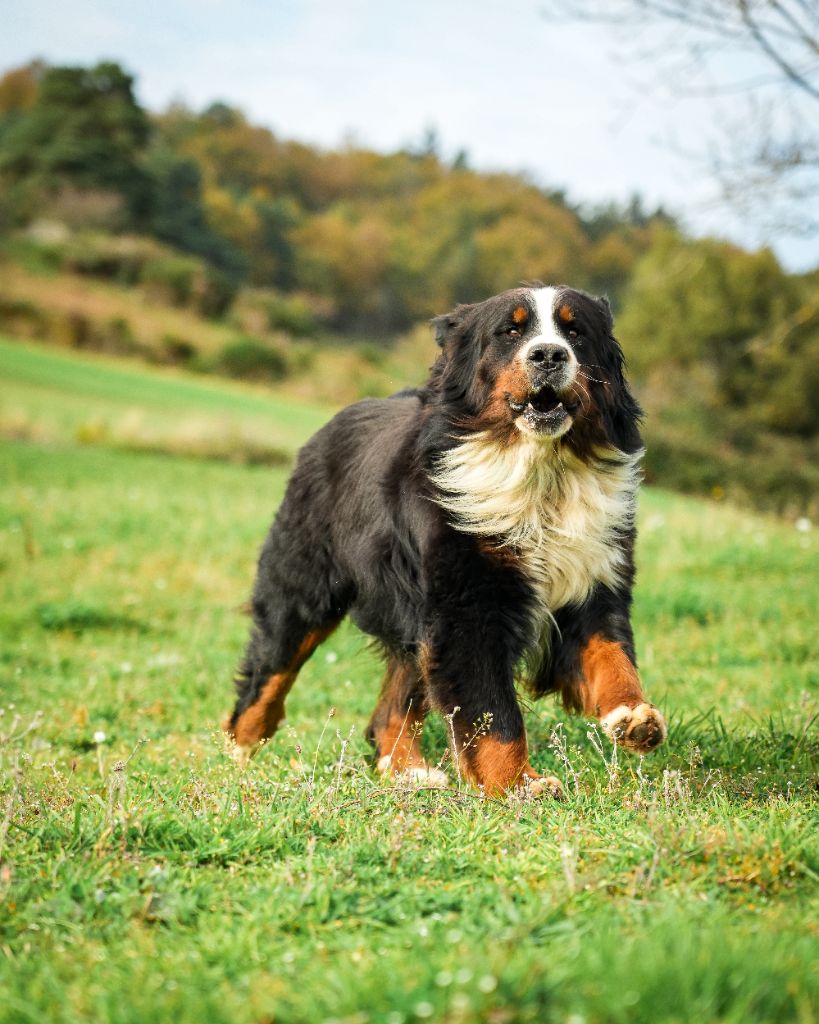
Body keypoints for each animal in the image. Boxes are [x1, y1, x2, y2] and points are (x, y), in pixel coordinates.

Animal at [224, 284, 663, 794]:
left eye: (576, 332)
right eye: (510, 331)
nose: (550, 354)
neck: (540, 474)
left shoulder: (593, 576)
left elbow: (610, 654)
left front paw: (633, 716)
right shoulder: (467, 606)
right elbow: (494, 713)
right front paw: (518, 785)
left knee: (392, 702)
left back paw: (408, 769)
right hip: (305, 587)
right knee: (271, 669)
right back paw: (238, 753)